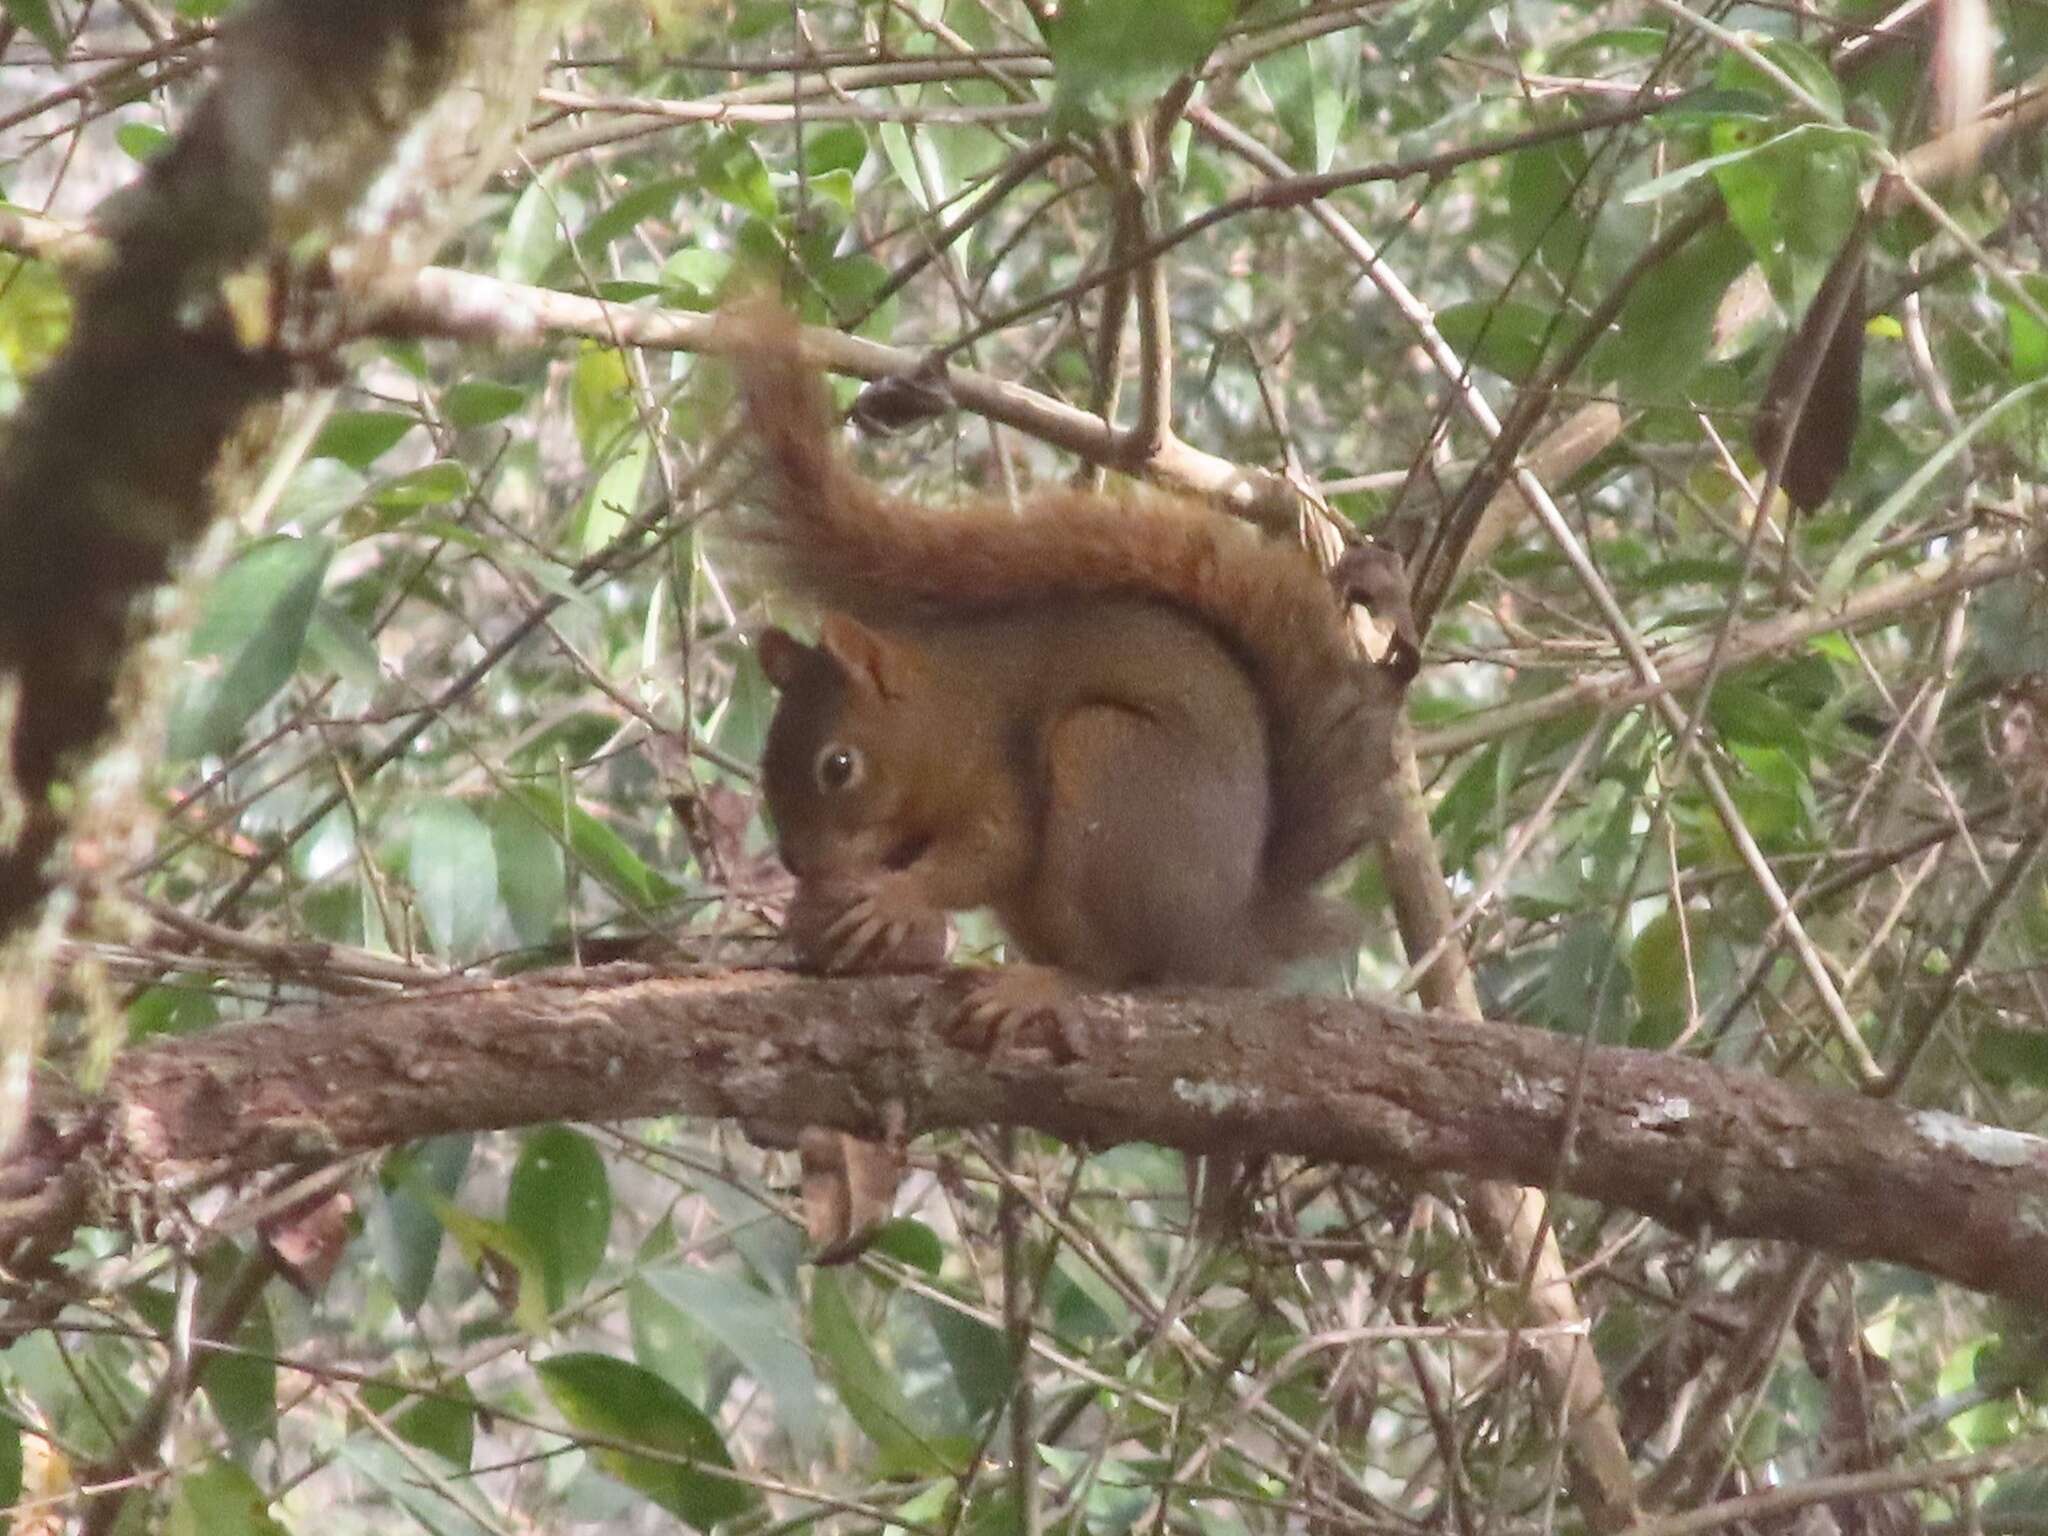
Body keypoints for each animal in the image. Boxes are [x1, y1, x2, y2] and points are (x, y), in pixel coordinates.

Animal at [724, 313, 1392, 1056]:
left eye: (837, 767)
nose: (797, 864)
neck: (944, 710)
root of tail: (1223, 939)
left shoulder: (996, 767)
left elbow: (995, 851)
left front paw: (898, 898)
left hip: (1105, 765)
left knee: (1116, 969)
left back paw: (1040, 985)